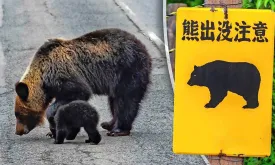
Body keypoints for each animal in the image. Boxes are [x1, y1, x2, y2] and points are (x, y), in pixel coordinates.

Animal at [14, 28, 152, 137]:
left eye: (18, 114)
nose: (18, 131)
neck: (43, 76)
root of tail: (144, 48)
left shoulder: (62, 75)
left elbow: (79, 92)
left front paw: (55, 125)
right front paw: (52, 131)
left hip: (128, 69)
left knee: (126, 99)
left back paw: (118, 129)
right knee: (114, 101)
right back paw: (108, 124)